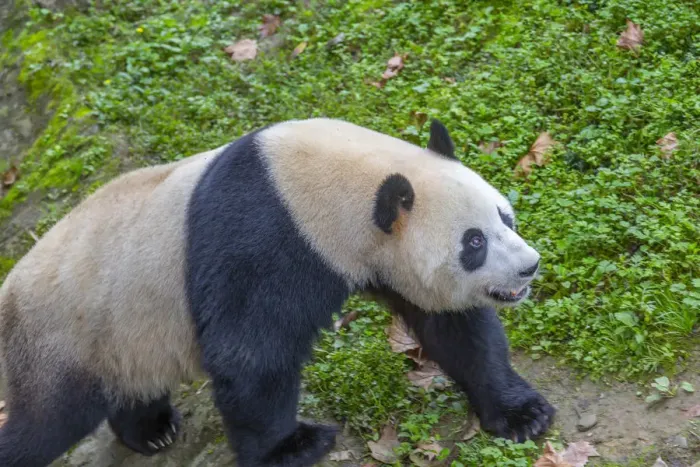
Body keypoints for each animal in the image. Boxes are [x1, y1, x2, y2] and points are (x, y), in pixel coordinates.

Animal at [0, 118, 554, 467]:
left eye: (504, 217)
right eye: (474, 243)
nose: (528, 268)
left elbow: (454, 329)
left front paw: (521, 414)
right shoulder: (268, 237)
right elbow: (251, 353)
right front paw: (291, 446)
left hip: (119, 336)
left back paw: (151, 430)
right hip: (60, 334)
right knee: (47, 423)